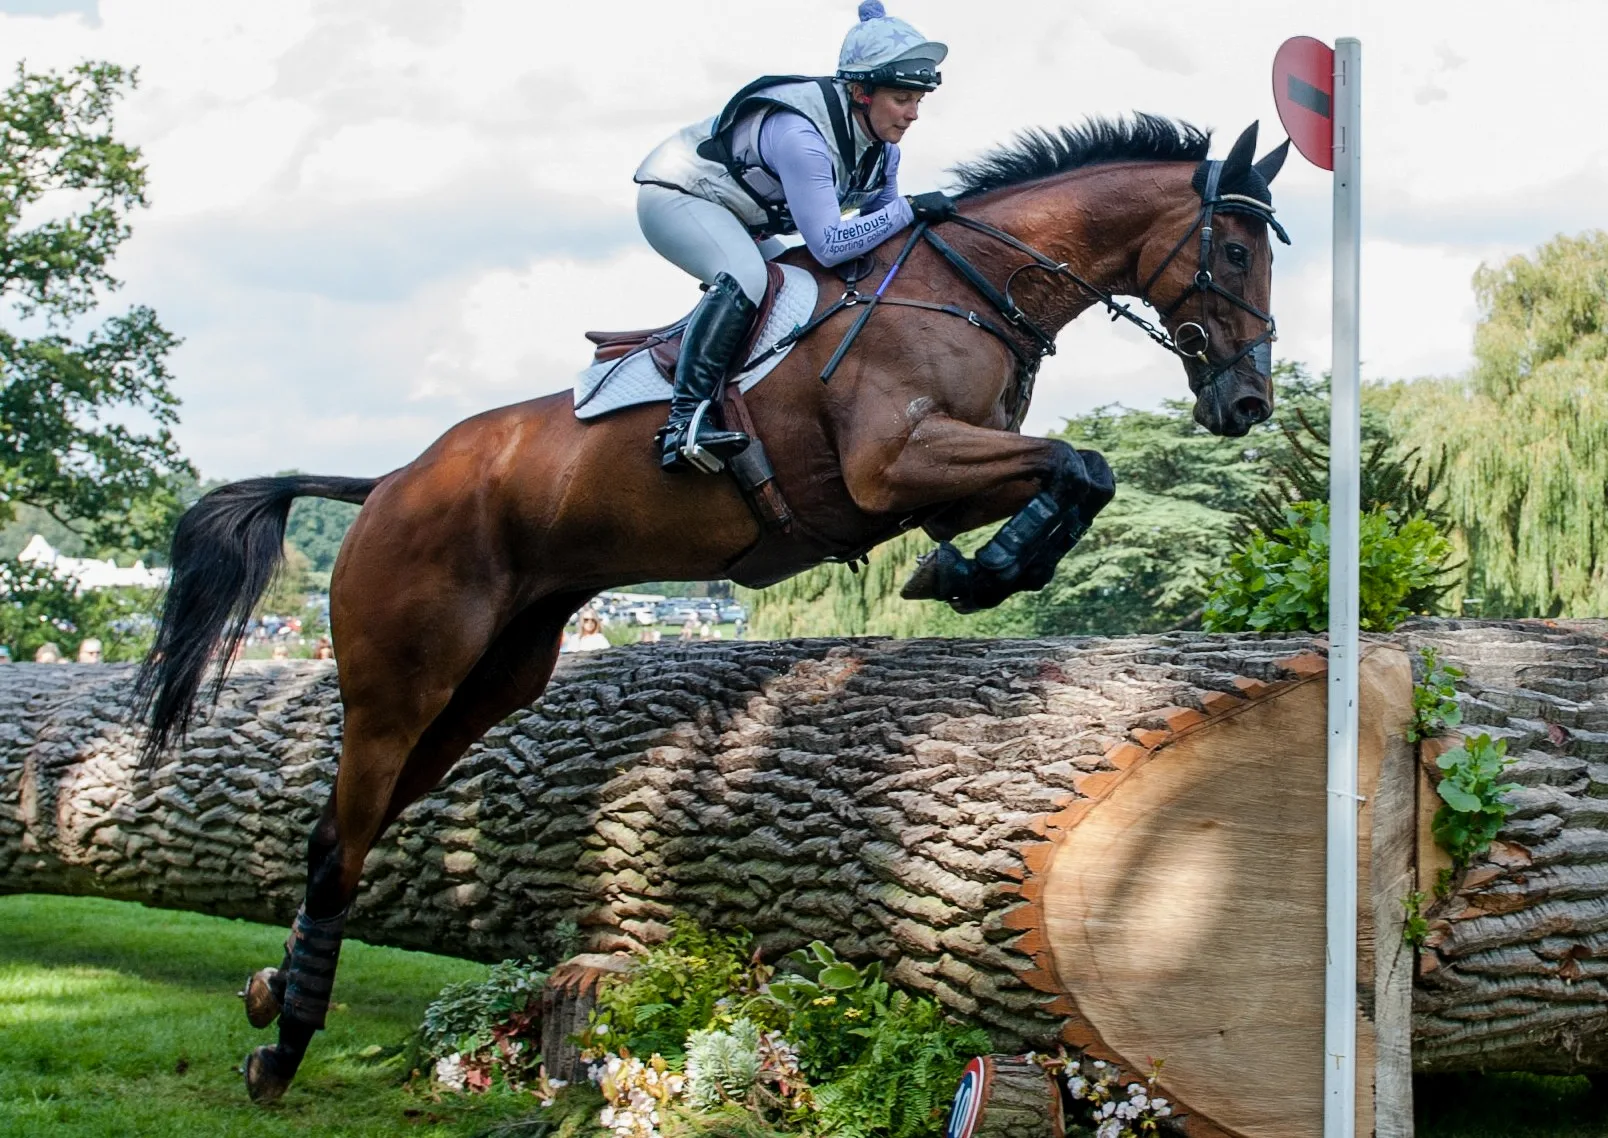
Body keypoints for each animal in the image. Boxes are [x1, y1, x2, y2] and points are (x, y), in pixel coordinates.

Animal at [134, 114, 1289, 1102]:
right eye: (1235, 253)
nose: (1246, 404)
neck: (966, 283)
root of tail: (386, 484)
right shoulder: (892, 464)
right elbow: (1081, 465)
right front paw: (975, 572)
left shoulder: (942, 478)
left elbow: (1078, 475)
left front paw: (978, 569)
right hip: (402, 677)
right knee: (339, 836)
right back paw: (282, 1050)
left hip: (492, 680)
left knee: (349, 828)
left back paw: (273, 1000)